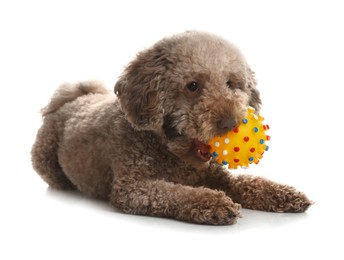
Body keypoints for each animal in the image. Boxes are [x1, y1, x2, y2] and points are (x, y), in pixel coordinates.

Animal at [31, 31, 312, 224]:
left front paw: (284, 193)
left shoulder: (216, 176)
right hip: (44, 159)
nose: (229, 123)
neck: (172, 153)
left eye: (232, 83)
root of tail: (74, 98)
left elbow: (248, 183)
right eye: (192, 86)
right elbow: (176, 193)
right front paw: (212, 202)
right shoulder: (133, 189)